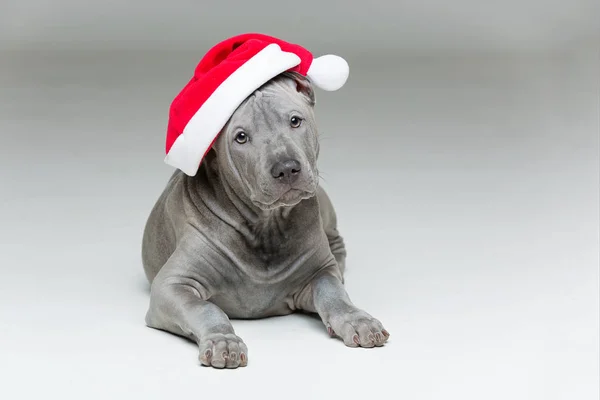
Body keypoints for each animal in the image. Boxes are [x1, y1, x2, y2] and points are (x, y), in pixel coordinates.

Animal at [144, 70, 392, 368]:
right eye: (241, 137)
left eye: (295, 121)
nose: (286, 168)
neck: (266, 225)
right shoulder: (172, 285)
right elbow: (205, 308)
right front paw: (223, 340)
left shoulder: (319, 271)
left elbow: (333, 292)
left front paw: (357, 320)